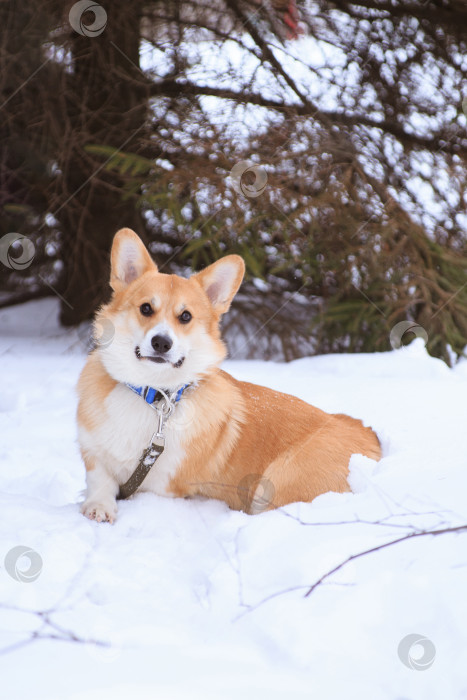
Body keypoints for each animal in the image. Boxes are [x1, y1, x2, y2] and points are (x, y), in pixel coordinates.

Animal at [77, 227, 382, 524]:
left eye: (185, 316)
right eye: (146, 308)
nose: (162, 343)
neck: (154, 394)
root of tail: (371, 440)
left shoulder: (164, 485)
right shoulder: (93, 453)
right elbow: (100, 479)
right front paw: (99, 507)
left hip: (276, 482)